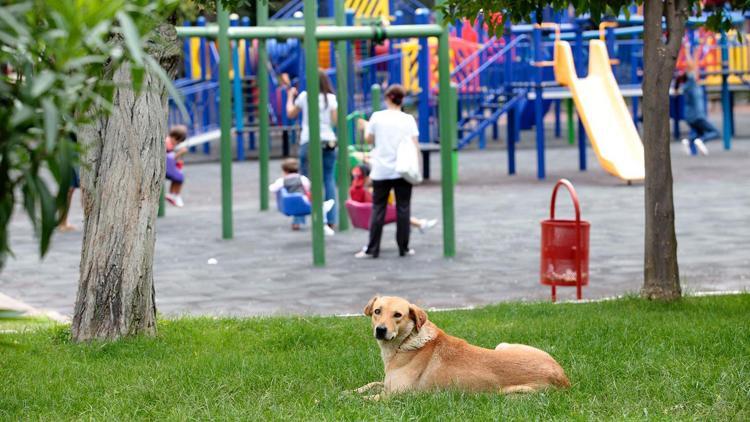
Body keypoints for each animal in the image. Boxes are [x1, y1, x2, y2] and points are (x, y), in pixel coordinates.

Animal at [358, 296, 568, 398]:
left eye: (398, 315)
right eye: (377, 311)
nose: (380, 330)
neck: (406, 342)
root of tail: (563, 378)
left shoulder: (397, 396)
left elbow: (366, 400)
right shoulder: (386, 385)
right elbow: (371, 384)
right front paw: (352, 391)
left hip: (510, 393)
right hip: (502, 345)